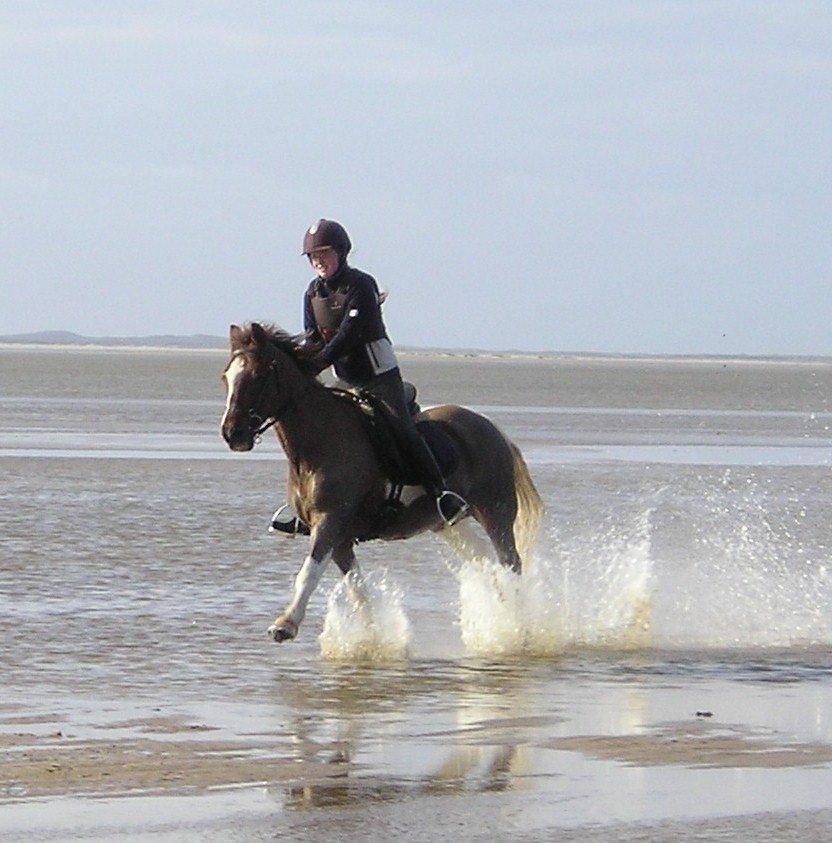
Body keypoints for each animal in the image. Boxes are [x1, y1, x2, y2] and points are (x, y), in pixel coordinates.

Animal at [220, 322, 543, 643]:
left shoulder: (330, 521)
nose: (231, 433)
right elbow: (357, 589)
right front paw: (373, 638)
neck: (319, 443)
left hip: (495, 512)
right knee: (486, 561)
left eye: (258, 375)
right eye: (226, 377)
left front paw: (285, 624)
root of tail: (493, 428)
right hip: (447, 525)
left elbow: (308, 572)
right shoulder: (340, 538)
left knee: (511, 562)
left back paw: (519, 623)